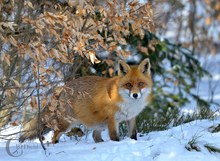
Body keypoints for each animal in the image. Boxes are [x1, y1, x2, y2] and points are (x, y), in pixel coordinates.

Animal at [19, 58, 152, 144]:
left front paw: (133, 143)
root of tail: (64, 87)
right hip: (67, 123)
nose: (135, 95)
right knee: (54, 135)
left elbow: (133, 135)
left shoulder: (131, 117)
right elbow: (115, 138)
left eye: (140, 84)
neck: (127, 103)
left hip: (99, 124)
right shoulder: (112, 120)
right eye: (128, 85)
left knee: (94, 136)